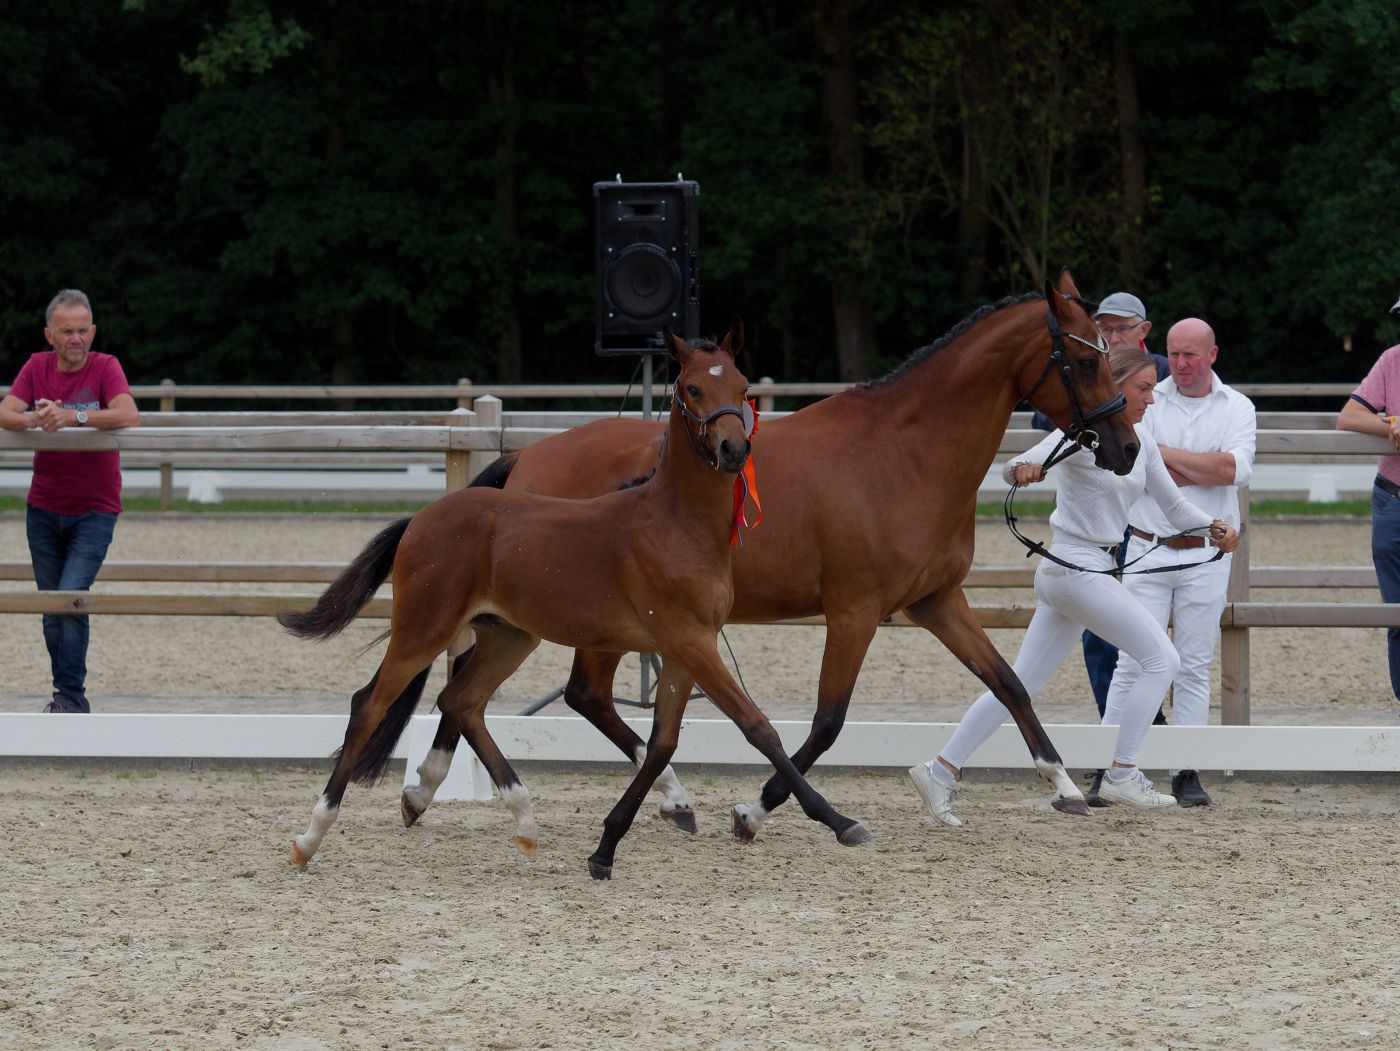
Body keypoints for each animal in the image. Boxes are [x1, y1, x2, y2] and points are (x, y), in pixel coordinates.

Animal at [279, 323, 871, 880]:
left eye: (743, 386)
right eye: (692, 387)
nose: (733, 451)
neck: (675, 525)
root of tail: (422, 518)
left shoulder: (683, 650)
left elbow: (662, 744)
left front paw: (608, 847)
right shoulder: (691, 641)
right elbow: (758, 728)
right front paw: (836, 822)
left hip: (508, 636)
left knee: (462, 702)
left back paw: (524, 821)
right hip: (424, 628)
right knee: (370, 705)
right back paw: (310, 837)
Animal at [403, 269, 1139, 838]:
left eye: (1107, 354)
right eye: (1083, 361)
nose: (1127, 447)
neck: (906, 455)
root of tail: (529, 457)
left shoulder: (935, 601)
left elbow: (1007, 682)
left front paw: (1063, 784)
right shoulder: (854, 610)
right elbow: (828, 721)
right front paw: (756, 811)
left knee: (523, 689)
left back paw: (434, 786)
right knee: (556, 691)